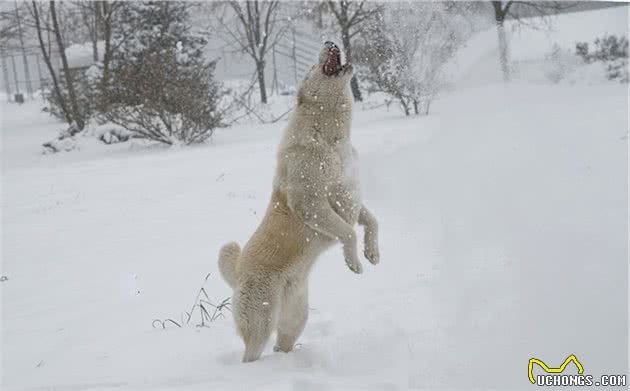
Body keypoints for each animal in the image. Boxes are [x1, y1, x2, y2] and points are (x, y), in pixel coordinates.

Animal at [220, 41, 382, 362]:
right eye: (311, 67)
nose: (330, 41)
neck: (331, 138)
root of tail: (240, 271)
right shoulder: (312, 204)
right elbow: (348, 231)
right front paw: (354, 262)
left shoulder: (349, 196)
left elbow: (371, 221)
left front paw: (372, 253)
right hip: (260, 322)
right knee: (251, 353)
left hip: (295, 319)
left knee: (282, 343)